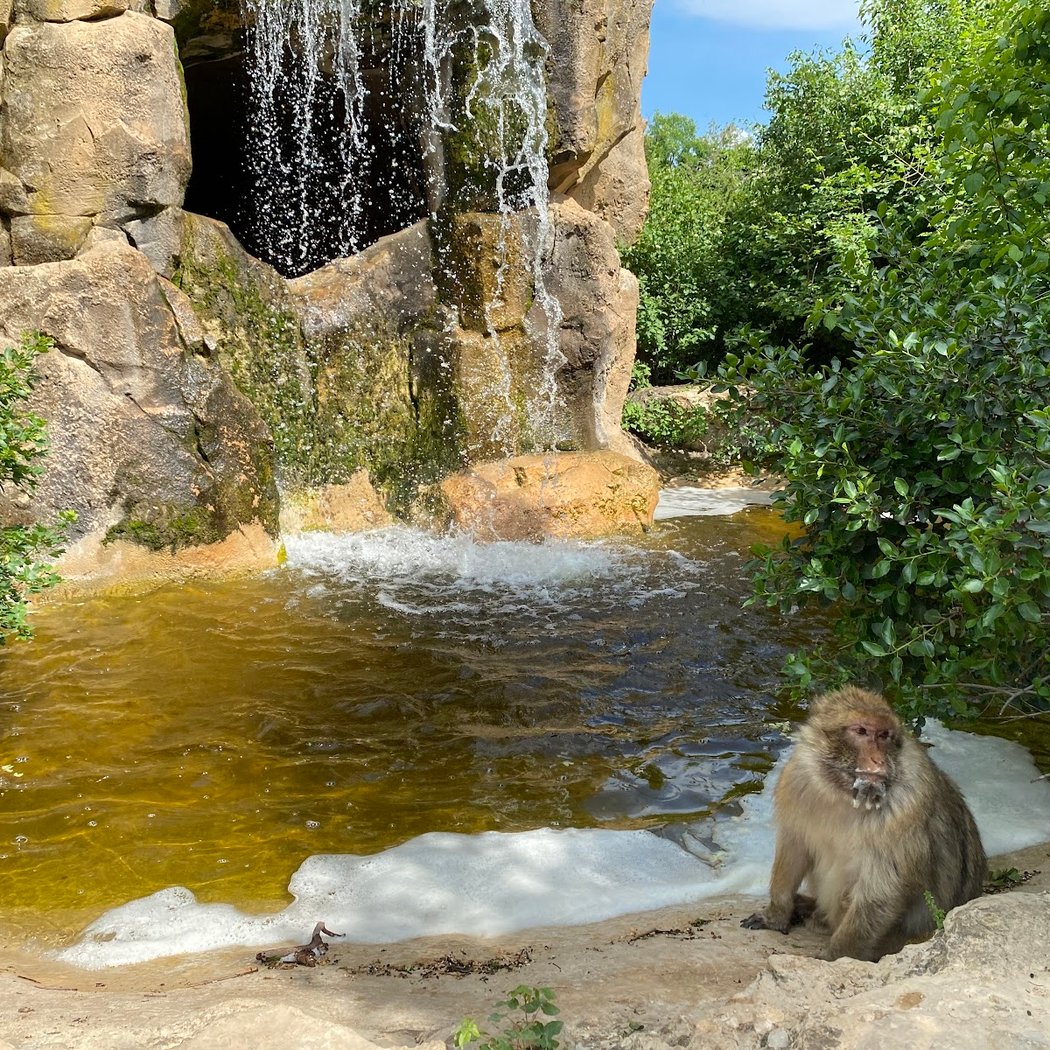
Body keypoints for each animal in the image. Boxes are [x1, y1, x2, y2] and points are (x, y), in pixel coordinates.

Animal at [741, 686, 986, 962]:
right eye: (861, 731)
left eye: (883, 735)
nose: (878, 760)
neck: (842, 795)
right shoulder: (798, 779)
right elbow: (794, 849)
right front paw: (776, 914)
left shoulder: (907, 805)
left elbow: (883, 889)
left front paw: (836, 956)